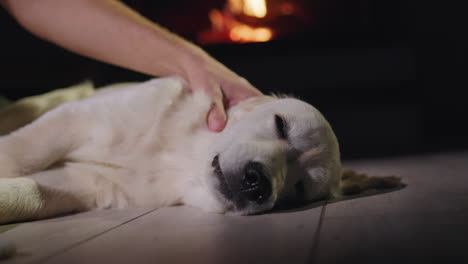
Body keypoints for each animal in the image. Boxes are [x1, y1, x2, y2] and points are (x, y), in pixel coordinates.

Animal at [0, 76, 402, 225]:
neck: (182, 161)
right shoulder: (74, 119)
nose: (257, 183)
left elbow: (31, 193)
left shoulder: (81, 183)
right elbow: (19, 153)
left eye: (300, 187)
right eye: (280, 125)